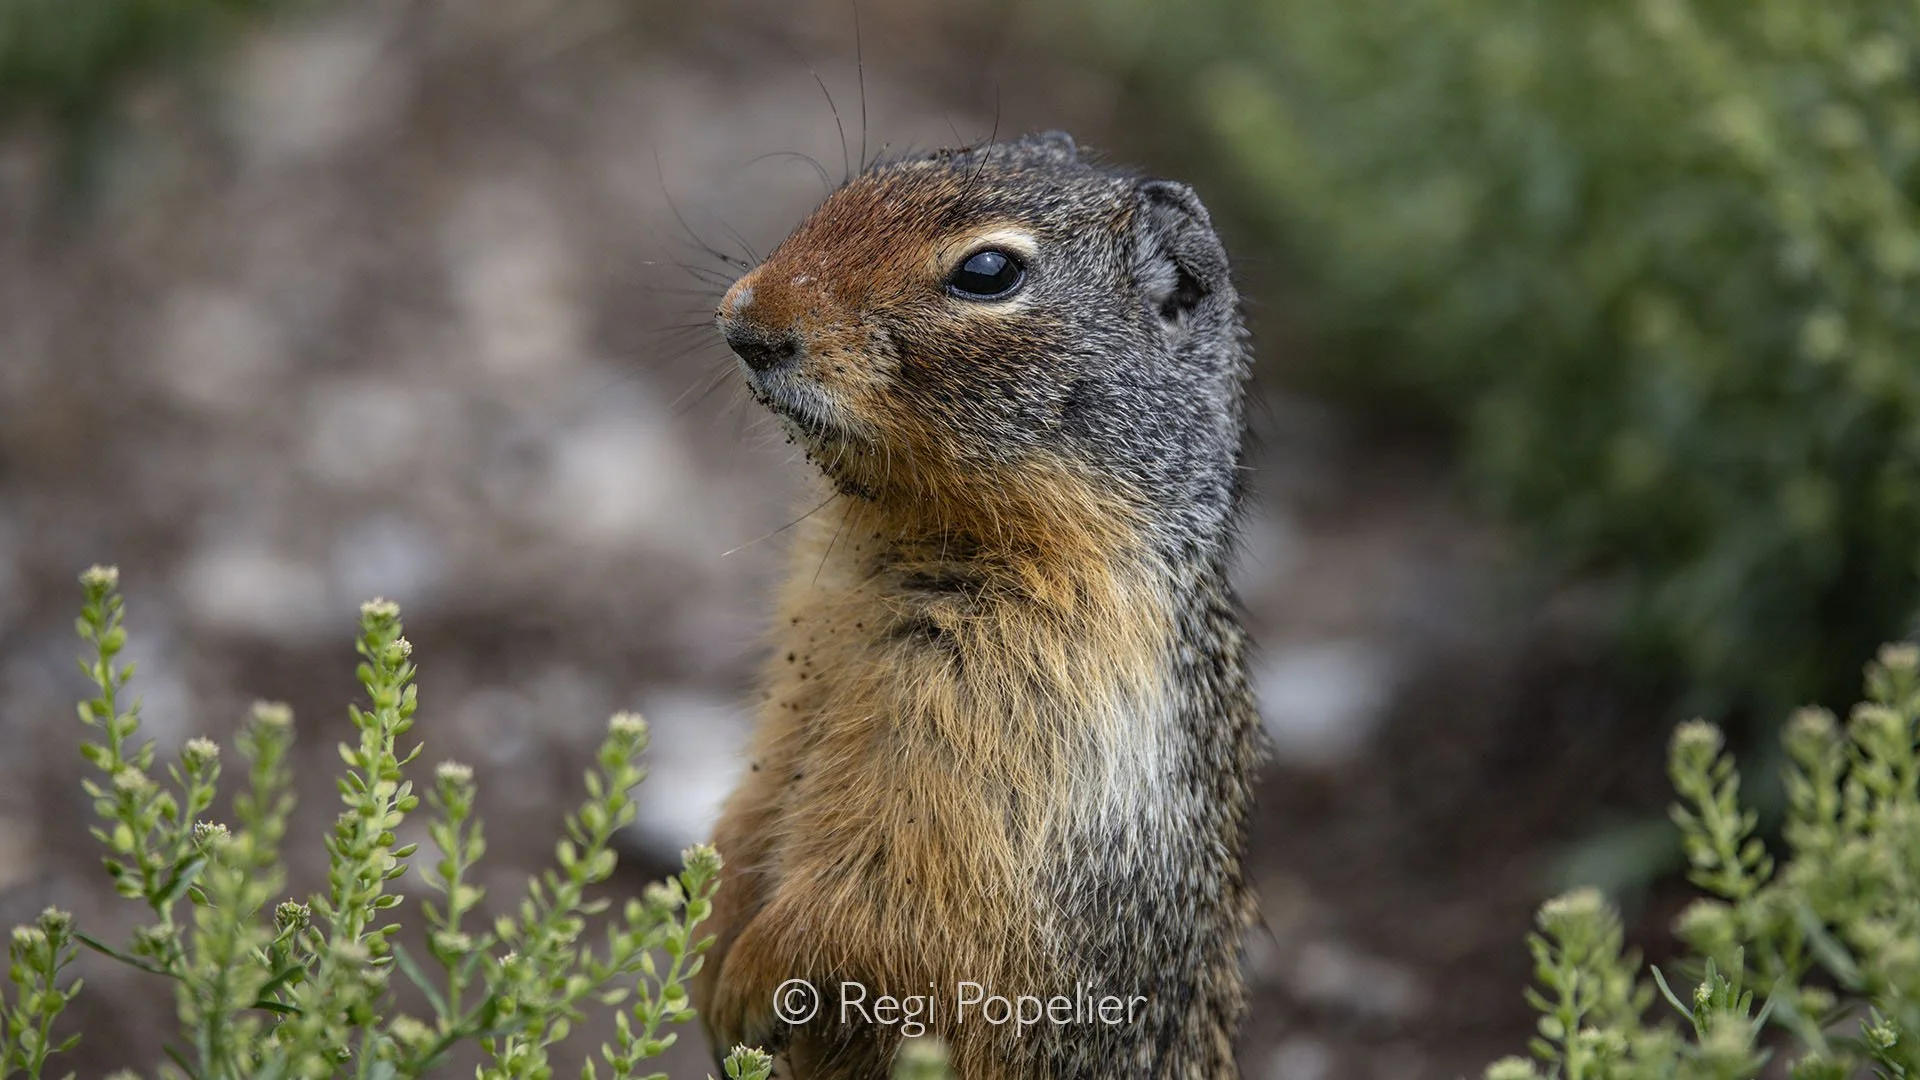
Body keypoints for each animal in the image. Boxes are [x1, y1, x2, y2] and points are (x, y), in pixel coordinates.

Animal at [692, 131, 1261, 1079]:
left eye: (988, 271)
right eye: (865, 183)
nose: (743, 322)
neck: (901, 541)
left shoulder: (1016, 724)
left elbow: (886, 897)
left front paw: (743, 986)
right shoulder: (799, 670)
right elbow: (755, 801)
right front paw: (703, 947)